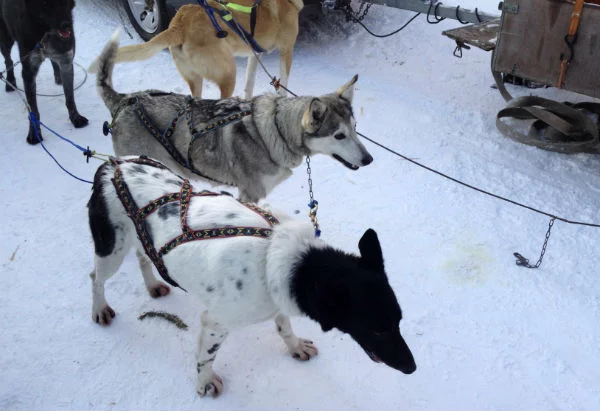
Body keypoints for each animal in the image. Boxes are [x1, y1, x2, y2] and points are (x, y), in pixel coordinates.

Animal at [0, 0, 88, 145]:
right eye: (46, 4)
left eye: (65, 2)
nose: (66, 24)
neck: (46, 33)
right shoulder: (28, 71)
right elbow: (34, 110)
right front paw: (34, 133)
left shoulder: (66, 62)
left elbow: (70, 98)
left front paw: (75, 118)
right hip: (6, 40)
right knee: (8, 61)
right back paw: (10, 82)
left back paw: (57, 76)